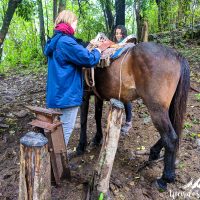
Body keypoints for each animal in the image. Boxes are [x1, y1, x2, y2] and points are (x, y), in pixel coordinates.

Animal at [83, 42, 191, 191]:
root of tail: (177, 55)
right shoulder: (98, 96)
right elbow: (97, 116)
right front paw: (97, 138)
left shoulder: (85, 94)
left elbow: (84, 119)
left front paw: (82, 146)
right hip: (168, 107)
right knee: (174, 131)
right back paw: (154, 153)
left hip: (156, 109)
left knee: (171, 137)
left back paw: (165, 179)